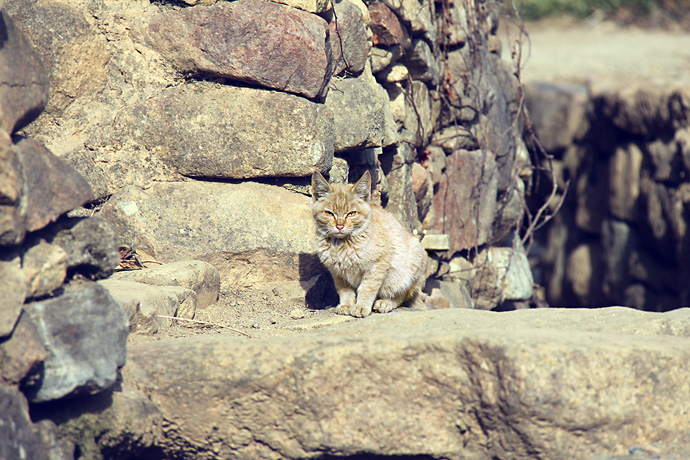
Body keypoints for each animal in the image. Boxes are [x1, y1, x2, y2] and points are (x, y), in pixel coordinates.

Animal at [310, 171, 428, 318]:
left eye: (351, 214)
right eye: (329, 213)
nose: (340, 226)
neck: (342, 244)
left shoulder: (378, 264)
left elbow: (367, 288)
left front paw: (361, 306)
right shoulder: (338, 273)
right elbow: (345, 291)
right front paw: (346, 305)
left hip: (411, 267)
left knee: (403, 295)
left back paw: (385, 303)